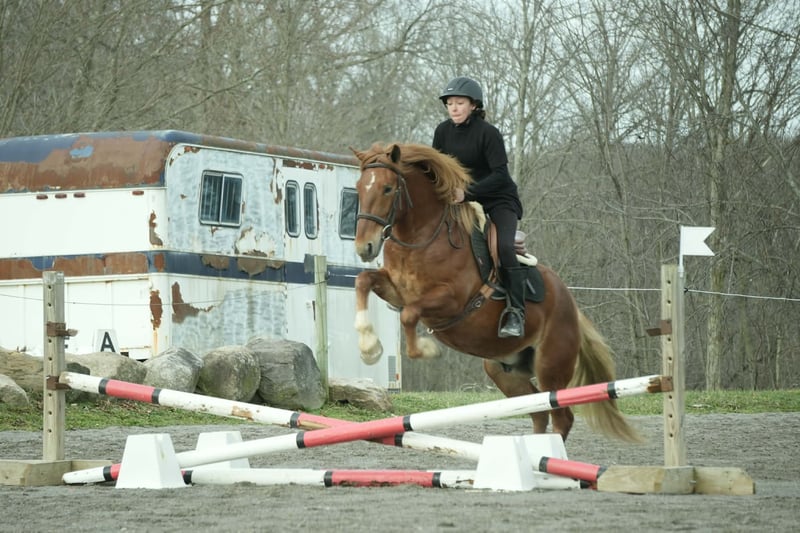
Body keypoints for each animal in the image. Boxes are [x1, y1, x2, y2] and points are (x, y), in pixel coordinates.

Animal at [350, 142, 640, 443]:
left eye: (387, 188)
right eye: (359, 187)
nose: (364, 247)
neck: (423, 235)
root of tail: (572, 306)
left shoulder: (451, 300)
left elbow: (409, 314)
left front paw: (427, 349)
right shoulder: (396, 290)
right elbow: (363, 281)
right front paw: (369, 347)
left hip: (550, 368)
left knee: (562, 416)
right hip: (505, 371)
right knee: (538, 412)